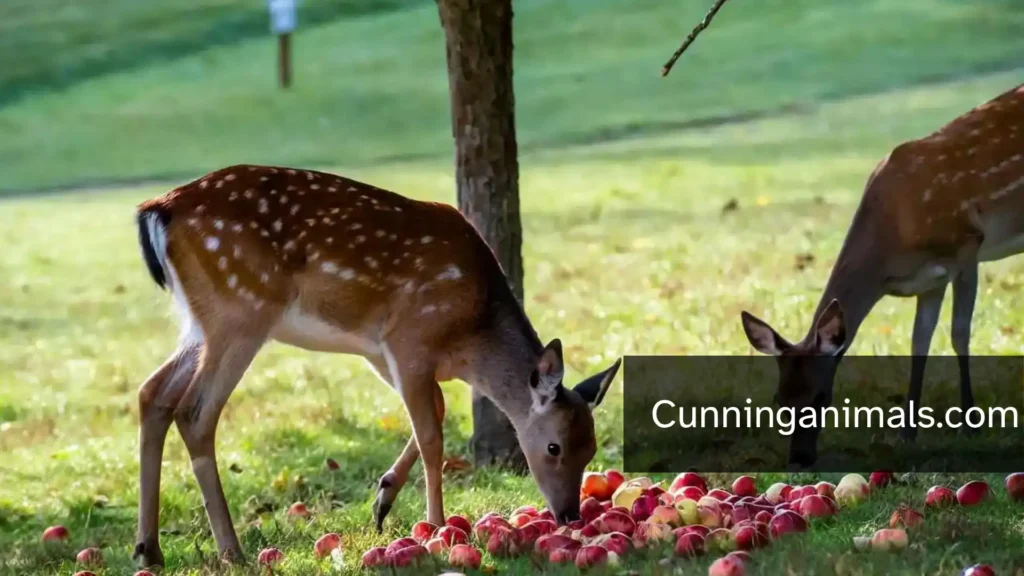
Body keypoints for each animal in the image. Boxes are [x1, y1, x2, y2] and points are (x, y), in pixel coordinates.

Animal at [131, 164, 621, 567]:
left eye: (592, 448)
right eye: (554, 447)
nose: (569, 515)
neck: (470, 338)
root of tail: (159, 209)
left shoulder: (379, 351)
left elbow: (437, 410)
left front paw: (384, 499)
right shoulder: (408, 339)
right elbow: (432, 436)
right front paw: (435, 527)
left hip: (203, 322)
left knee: (152, 393)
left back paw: (149, 549)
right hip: (240, 309)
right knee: (195, 412)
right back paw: (231, 551)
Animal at [739, 82, 1024, 468]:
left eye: (821, 396)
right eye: (779, 401)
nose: (799, 458)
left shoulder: (967, 244)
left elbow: (959, 334)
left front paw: (970, 425)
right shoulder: (931, 279)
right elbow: (919, 342)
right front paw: (907, 433)